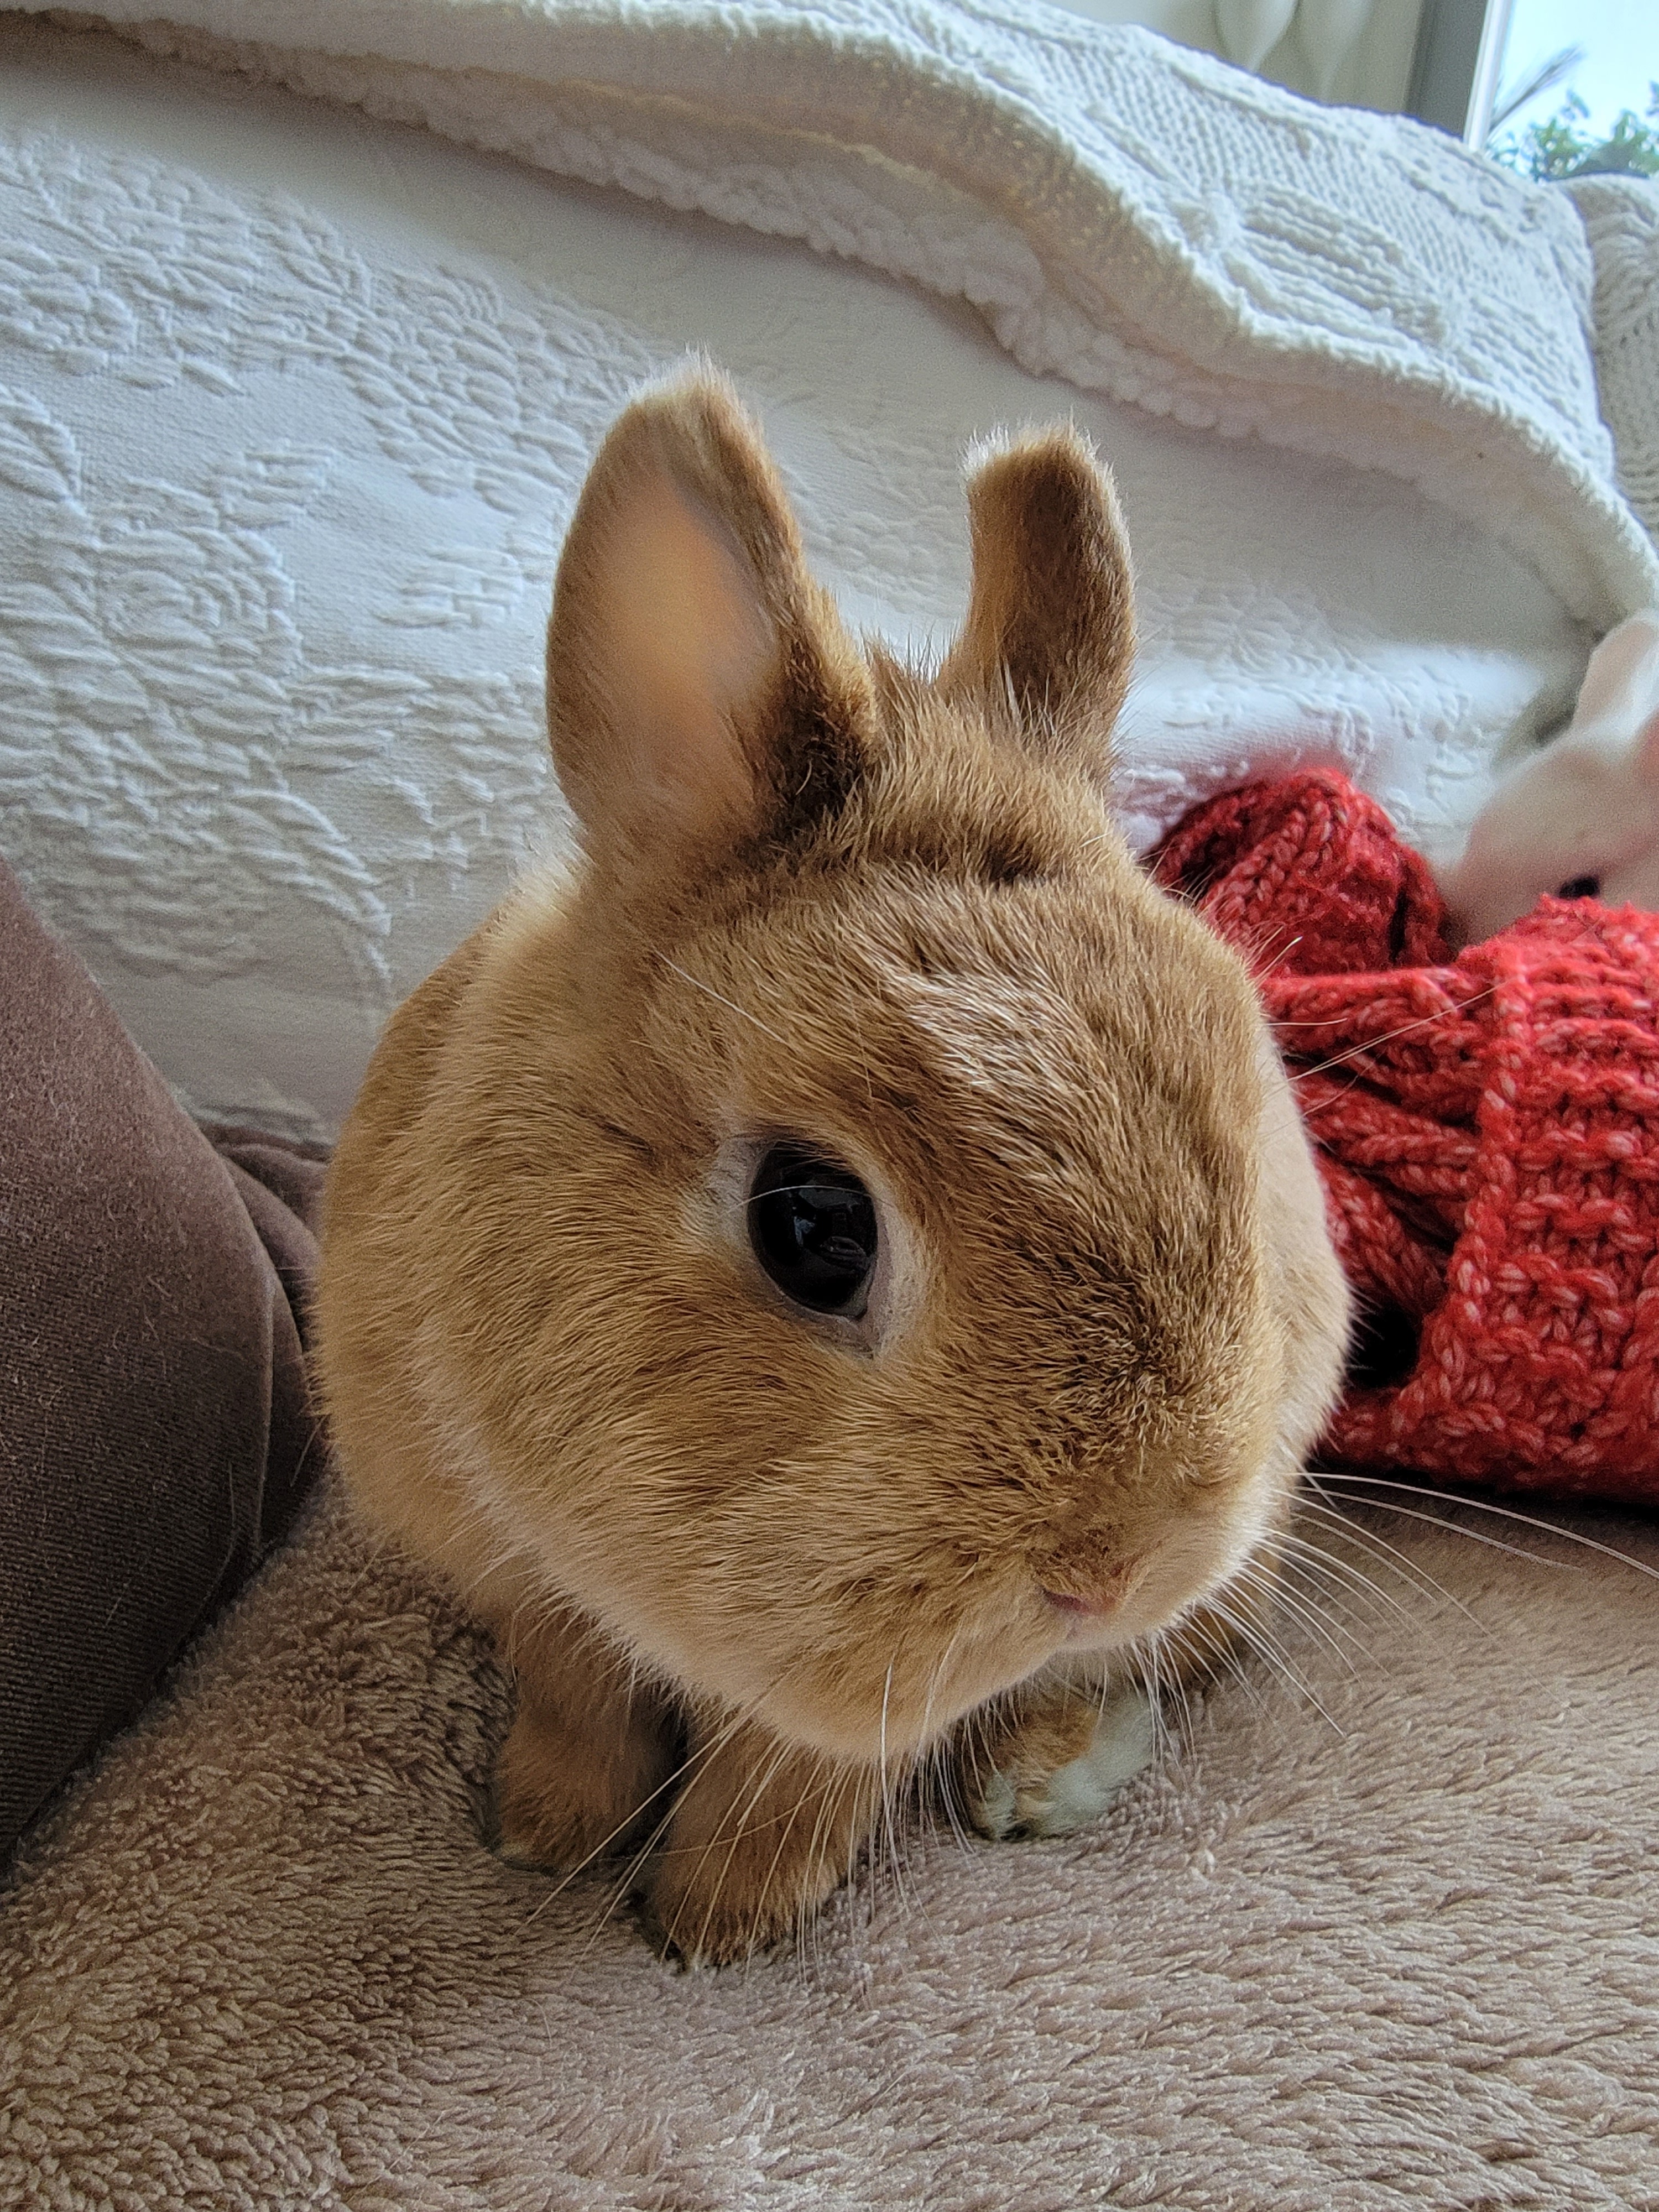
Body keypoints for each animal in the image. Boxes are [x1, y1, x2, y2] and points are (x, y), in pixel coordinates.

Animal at [314, 367, 1354, 1973]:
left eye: (1247, 1151)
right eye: (809, 1227)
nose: (1107, 1566)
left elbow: (803, 1760)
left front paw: (716, 1921)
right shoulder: (520, 1575)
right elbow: (576, 1688)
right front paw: (549, 1833)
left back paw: (1038, 1781)